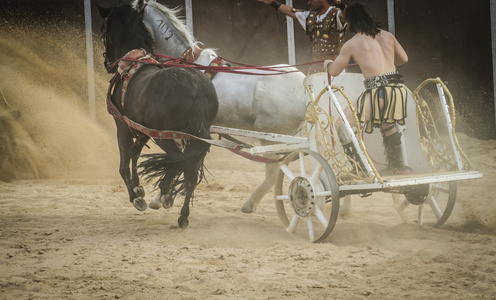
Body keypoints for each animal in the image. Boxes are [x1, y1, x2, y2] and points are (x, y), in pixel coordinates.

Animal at [98, 1, 218, 227]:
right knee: (189, 170)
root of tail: (197, 86)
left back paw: (165, 194)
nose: (107, 63)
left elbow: (124, 164)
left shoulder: (123, 126)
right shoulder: (142, 130)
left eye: (103, 31)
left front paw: (136, 197)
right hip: (195, 138)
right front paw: (139, 188)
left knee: (177, 160)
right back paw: (182, 214)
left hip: (165, 137)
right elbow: (135, 154)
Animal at [130, 0, 308, 216]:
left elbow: (179, 160)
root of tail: (304, 86)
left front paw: (161, 197)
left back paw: (250, 204)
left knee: (273, 173)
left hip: (270, 137)